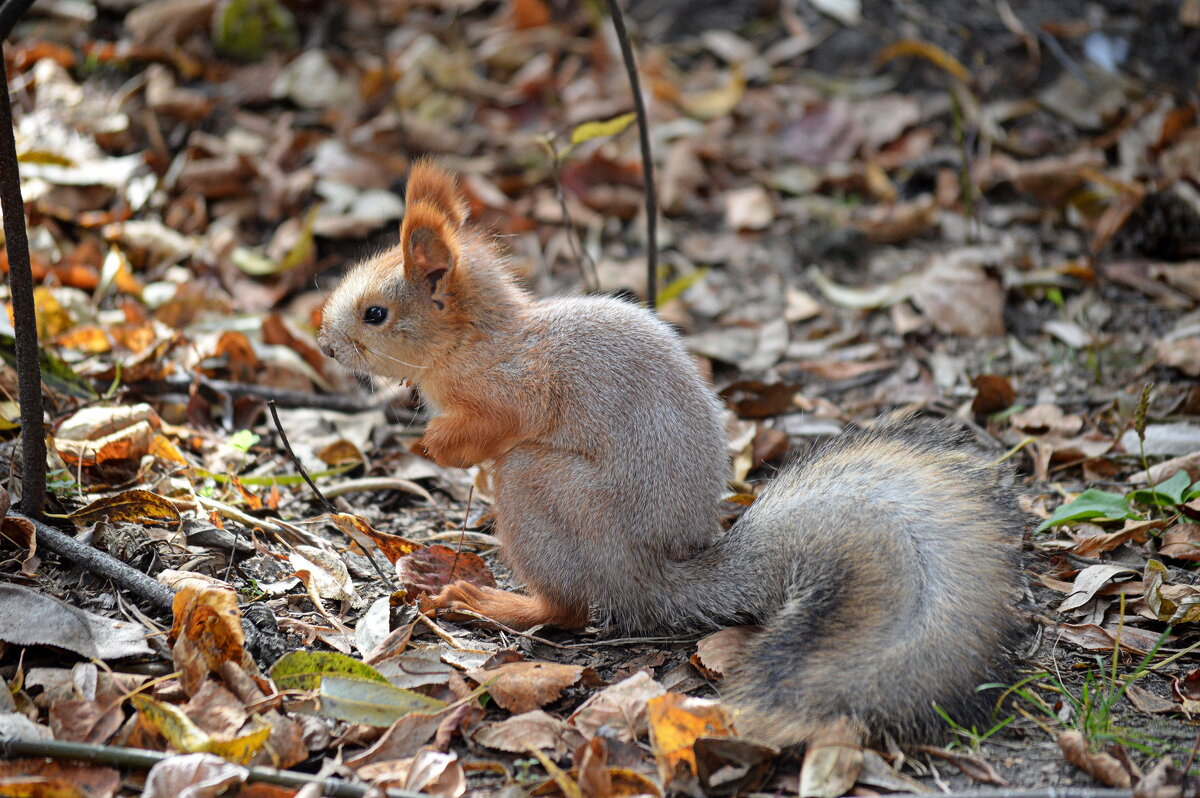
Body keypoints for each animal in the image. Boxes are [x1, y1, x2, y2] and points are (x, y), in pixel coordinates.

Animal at [314, 162, 1027, 748]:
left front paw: (428, 443)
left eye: (375, 314)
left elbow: (492, 428)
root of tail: (650, 571)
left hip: (544, 491)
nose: (323, 344)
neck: (475, 342)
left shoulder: (515, 390)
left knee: (567, 606)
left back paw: (483, 598)